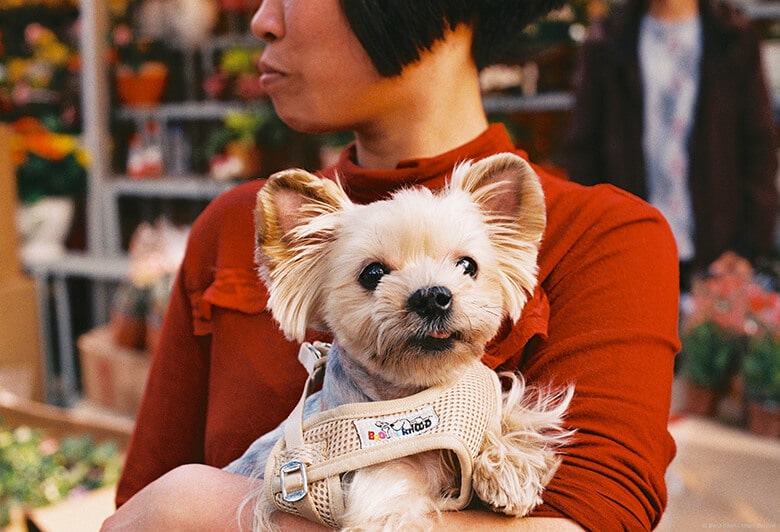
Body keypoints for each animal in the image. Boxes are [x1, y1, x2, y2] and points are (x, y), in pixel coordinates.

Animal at [225, 152, 572, 528]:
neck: (414, 394)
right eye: (373, 273)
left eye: (468, 265)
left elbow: (513, 414)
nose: (432, 296)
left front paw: (509, 469)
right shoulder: (384, 495)